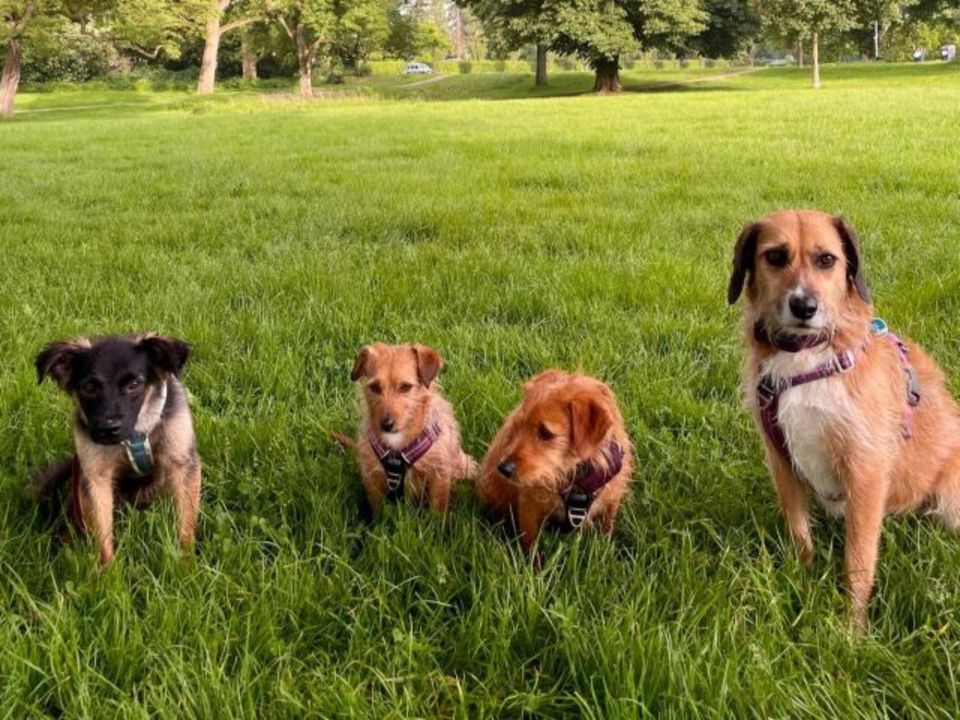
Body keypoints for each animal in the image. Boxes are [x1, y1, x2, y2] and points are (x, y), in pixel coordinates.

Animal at [30, 334, 201, 564]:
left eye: (134, 384)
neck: (135, 433)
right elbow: (101, 535)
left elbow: (186, 523)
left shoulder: (182, 463)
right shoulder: (95, 477)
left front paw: (186, 562)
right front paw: (106, 570)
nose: (107, 429)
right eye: (89, 387)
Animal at [344, 344, 480, 512]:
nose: (386, 424)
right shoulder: (371, 477)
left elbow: (437, 509)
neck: (397, 444)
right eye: (374, 387)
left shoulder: (439, 475)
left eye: (406, 387)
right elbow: (378, 510)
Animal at [478, 372, 632, 552]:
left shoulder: (611, 502)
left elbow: (606, 531)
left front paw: (605, 550)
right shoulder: (529, 507)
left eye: (545, 433)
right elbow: (531, 545)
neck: (576, 475)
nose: (503, 468)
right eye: (518, 425)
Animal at [728, 210, 960, 632]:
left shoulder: (865, 470)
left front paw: (852, 629)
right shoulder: (781, 460)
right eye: (775, 256)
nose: (804, 306)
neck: (808, 356)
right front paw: (802, 580)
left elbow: (858, 560)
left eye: (826, 260)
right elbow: (799, 532)